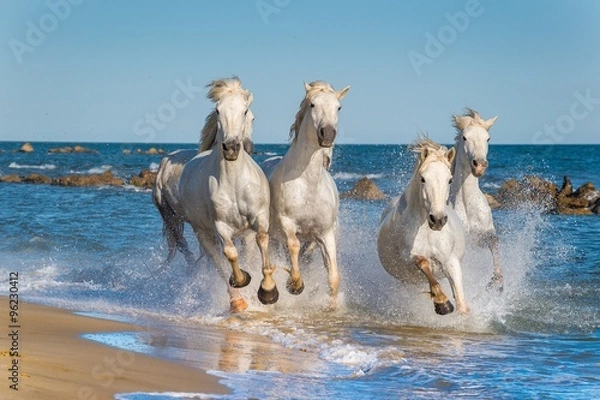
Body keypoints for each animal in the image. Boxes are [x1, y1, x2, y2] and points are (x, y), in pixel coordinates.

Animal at [151, 87, 254, 268]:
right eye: (219, 112)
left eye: (251, 116)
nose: (244, 147)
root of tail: (163, 164)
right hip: (169, 216)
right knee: (182, 245)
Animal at [177, 76, 274, 310]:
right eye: (218, 110)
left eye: (247, 112)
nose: (231, 147)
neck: (234, 181)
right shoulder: (220, 226)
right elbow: (230, 255)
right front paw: (242, 280)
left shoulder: (259, 219)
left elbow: (263, 242)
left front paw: (268, 291)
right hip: (203, 234)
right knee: (218, 262)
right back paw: (237, 300)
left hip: (244, 235)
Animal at [270, 79, 350, 308]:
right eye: (313, 104)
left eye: (339, 107)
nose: (328, 134)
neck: (308, 185)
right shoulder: (287, 224)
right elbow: (293, 246)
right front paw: (295, 285)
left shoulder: (325, 233)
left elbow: (333, 276)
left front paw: (332, 307)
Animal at [378, 138, 472, 316]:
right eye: (423, 179)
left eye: (449, 179)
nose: (438, 220)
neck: (426, 230)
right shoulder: (409, 257)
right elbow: (423, 263)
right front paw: (442, 303)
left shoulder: (450, 261)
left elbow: (461, 300)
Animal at [450, 109, 502, 290]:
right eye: (465, 137)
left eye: (488, 138)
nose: (479, 165)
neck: (467, 206)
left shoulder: (483, 235)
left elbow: (495, 242)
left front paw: (497, 281)